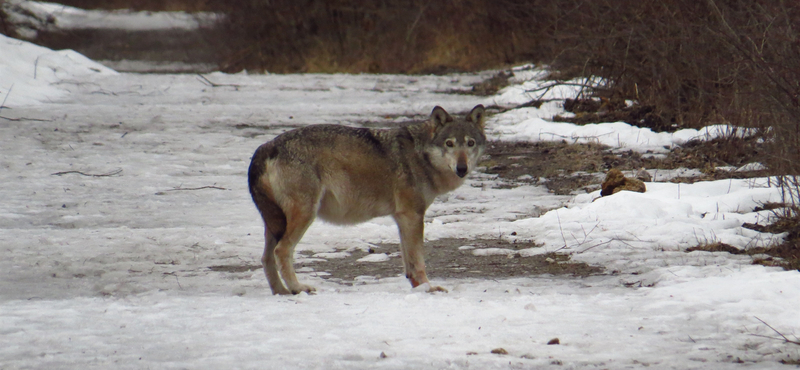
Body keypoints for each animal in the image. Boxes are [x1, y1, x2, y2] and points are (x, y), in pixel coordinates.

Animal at [248, 104, 488, 294]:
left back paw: (281, 292)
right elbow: (418, 261)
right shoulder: (413, 215)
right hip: (304, 215)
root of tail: (267, 146)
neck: (422, 157)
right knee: (281, 251)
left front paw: (418, 288)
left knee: (266, 258)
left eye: (470, 143)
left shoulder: (403, 218)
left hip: (276, 223)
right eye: (449, 144)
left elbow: (409, 264)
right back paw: (297, 288)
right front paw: (428, 289)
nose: (462, 168)